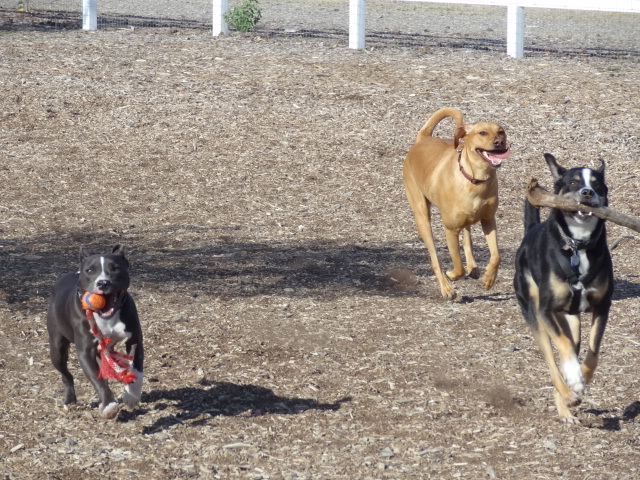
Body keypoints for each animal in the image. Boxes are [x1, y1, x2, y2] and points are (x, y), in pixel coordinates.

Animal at [46, 246, 144, 418]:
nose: (103, 282)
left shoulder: (134, 340)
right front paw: (109, 404)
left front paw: (131, 395)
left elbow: (136, 368)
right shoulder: (85, 351)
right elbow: (96, 380)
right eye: (90, 270)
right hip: (57, 349)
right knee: (67, 375)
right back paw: (70, 399)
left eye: (115, 268)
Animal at [402, 107, 512, 298]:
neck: (476, 180)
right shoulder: (451, 230)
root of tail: (423, 139)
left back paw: (473, 267)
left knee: (468, 237)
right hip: (422, 217)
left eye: (501, 131)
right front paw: (452, 275)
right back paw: (446, 288)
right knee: (435, 258)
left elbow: (496, 256)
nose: (499, 142)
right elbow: (458, 266)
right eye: (482, 132)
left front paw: (489, 279)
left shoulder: (488, 220)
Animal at [512, 155, 612, 424]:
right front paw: (575, 380)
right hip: (535, 315)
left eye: (597, 184)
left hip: (571, 320)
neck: (578, 245)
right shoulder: (545, 310)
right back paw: (567, 395)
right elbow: (563, 346)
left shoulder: (602, 306)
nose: (587, 192)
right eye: (574, 182)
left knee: (570, 347)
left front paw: (582, 377)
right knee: (552, 360)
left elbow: (593, 353)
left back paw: (567, 403)